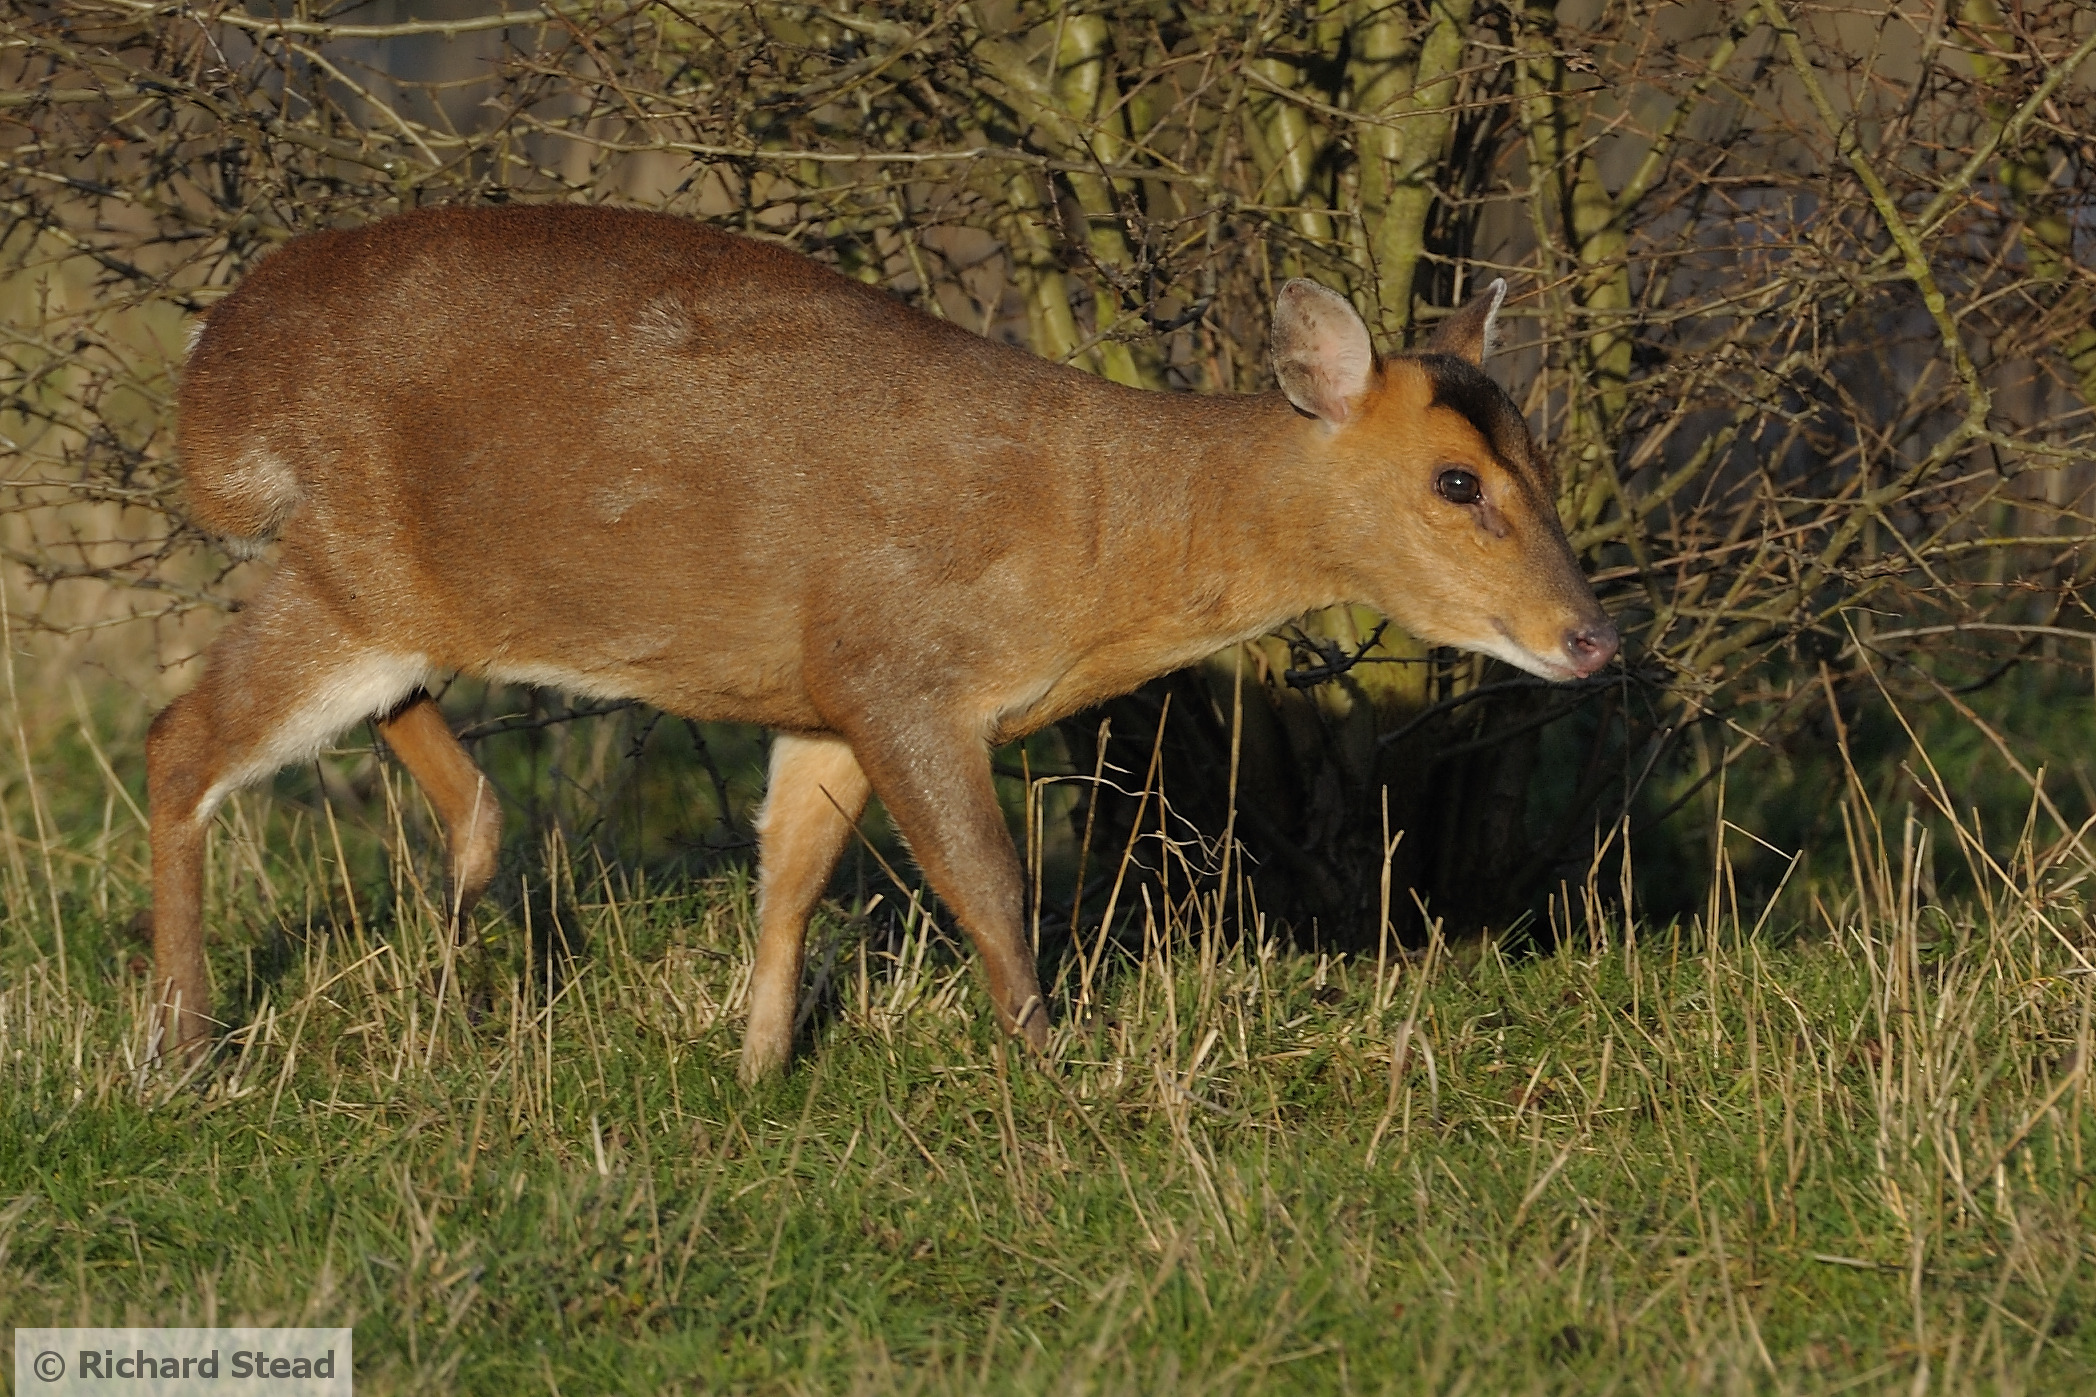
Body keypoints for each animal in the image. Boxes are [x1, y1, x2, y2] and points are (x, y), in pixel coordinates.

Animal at [151, 205, 1618, 1080]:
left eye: (1544, 461)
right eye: (1455, 483)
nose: (1593, 638)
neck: (1092, 535)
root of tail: (215, 388)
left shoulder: (824, 696)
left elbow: (789, 877)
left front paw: (753, 1070)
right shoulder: (904, 668)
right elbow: (989, 885)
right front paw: (1049, 1072)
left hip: (381, 595)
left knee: (348, 729)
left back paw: (464, 891)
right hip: (347, 568)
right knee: (181, 742)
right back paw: (186, 1044)